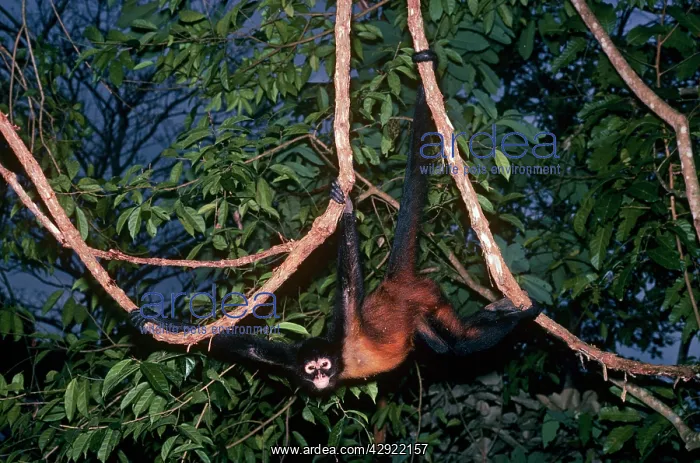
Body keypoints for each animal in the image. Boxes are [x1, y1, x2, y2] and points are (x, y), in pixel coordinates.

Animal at [130, 50, 542, 392]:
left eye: (324, 365)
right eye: (310, 369)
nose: (321, 378)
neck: (341, 356)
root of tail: (394, 285)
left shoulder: (346, 326)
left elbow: (348, 282)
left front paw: (344, 212)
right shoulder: (287, 357)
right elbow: (239, 344)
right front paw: (150, 321)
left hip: (427, 295)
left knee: (459, 345)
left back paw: (521, 315)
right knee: (443, 346)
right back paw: (498, 311)